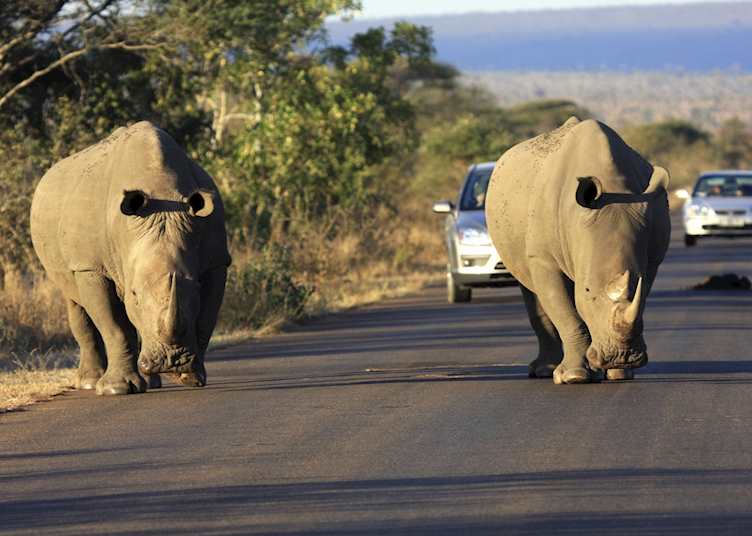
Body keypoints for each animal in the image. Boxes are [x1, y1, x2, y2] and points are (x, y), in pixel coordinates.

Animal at [31, 121, 231, 395]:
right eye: (134, 294)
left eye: (196, 289)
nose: (171, 360)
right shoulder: (91, 267)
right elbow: (115, 326)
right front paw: (116, 389)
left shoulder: (216, 261)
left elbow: (205, 319)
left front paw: (190, 376)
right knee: (74, 301)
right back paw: (89, 383)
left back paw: (150, 381)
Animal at [485, 117, 670, 384]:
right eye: (587, 290)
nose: (623, 357)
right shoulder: (544, 259)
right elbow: (565, 313)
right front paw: (575, 376)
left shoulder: (652, 259)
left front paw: (619, 373)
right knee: (530, 288)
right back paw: (544, 371)